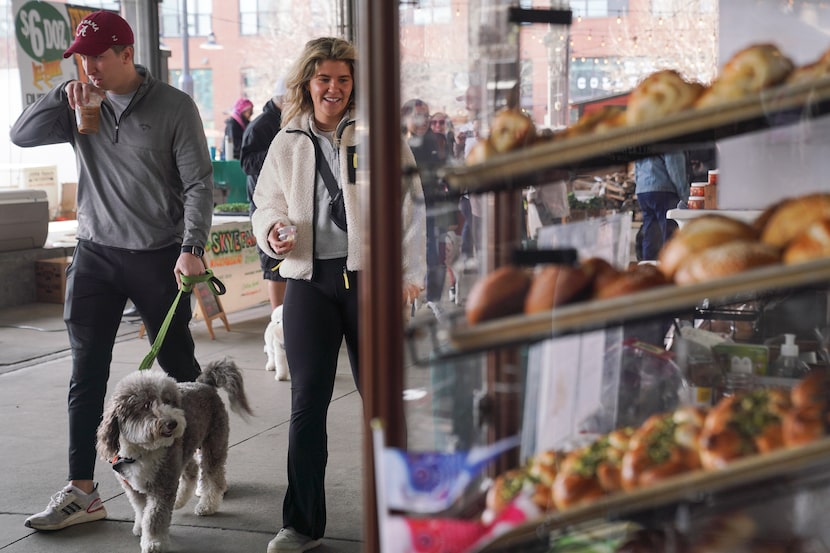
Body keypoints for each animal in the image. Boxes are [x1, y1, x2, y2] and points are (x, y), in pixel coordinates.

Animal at [97, 358, 254, 552]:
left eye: (168, 401)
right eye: (146, 405)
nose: (172, 423)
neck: (143, 450)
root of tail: (204, 383)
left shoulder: (163, 485)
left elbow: (154, 517)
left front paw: (154, 542)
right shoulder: (132, 486)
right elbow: (141, 509)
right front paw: (141, 527)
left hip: (213, 443)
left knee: (213, 475)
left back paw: (207, 505)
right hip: (184, 449)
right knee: (192, 469)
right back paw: (180, 499)